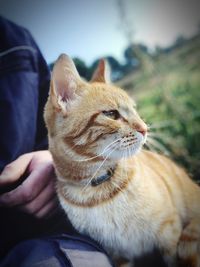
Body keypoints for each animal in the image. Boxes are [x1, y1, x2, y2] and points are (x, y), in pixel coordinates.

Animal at [44, 55, 200, 267]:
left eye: (134, 109)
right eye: (111, 114)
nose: (145, 129)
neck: (98, 189)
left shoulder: (169, 232)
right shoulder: (118, 255)